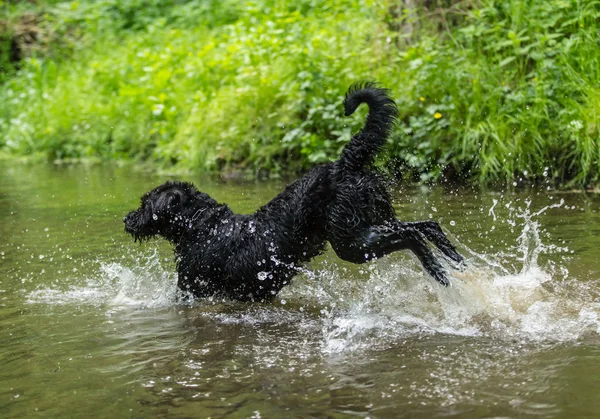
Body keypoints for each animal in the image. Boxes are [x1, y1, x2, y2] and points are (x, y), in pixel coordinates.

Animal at [124, 83, 464, 302]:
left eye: (145, 203)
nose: (127, 219)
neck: (203, 226)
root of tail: (345, 164)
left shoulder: (190, 288)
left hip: (351, 241)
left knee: (412, 235)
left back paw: (438, 270)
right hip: (372, 218)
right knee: (426, 225)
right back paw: (455, 260)